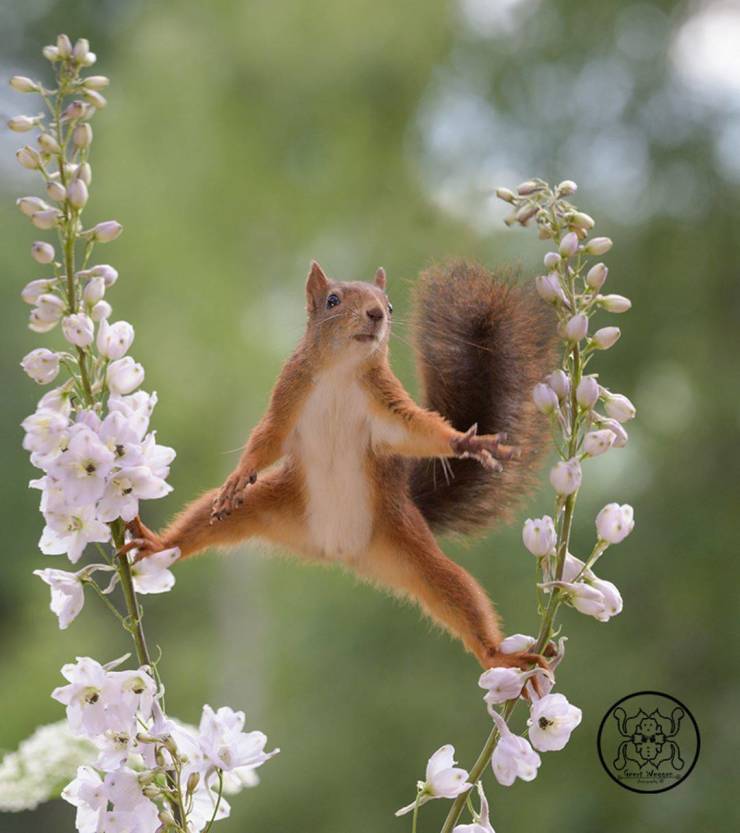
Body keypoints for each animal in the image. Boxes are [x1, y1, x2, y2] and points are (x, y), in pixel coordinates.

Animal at [127, 264, 556, 672]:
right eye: (332, 300)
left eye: (390, 305)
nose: (376, 314)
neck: (340, 372)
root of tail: (338, 552)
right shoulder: (289, 392)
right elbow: (267, 438)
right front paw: (239, 473)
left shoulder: (389, 407)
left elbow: (420, 430)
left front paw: (468, 443)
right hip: (268, 505)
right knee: (202, 523)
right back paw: (158, 544)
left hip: (407, 541)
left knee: (454, 589)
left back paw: (498, 656)